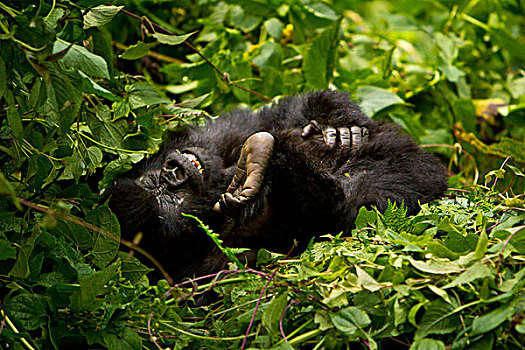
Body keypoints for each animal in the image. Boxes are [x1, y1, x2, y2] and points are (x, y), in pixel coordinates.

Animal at [109, 91, 446, 280]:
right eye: (167, 200)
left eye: (158, 183)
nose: (172, 172)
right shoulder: (221, 262)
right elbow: (334, 221)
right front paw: (274, 158)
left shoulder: (218, 139)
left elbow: (272, 116)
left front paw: (335, 117)